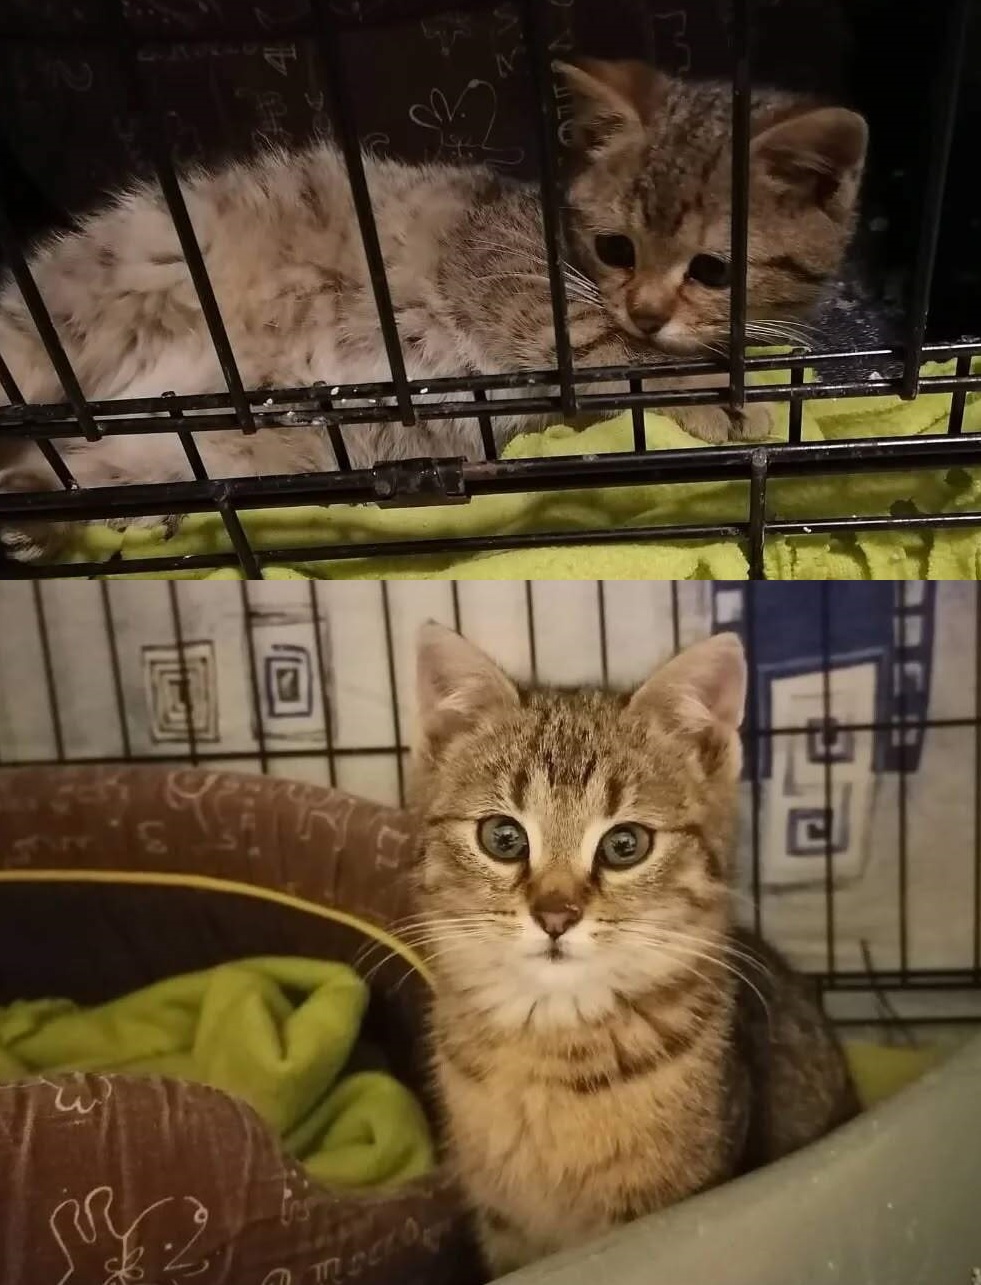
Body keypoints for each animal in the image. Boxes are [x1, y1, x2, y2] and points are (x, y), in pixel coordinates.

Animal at [0, 58, 867, 559]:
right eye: (615, 248)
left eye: (714, 269)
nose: (649, 310)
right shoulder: (507, 272)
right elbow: (613, 352)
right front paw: (719, 397)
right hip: (69, 311)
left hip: (206, 456)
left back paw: (41, 517)